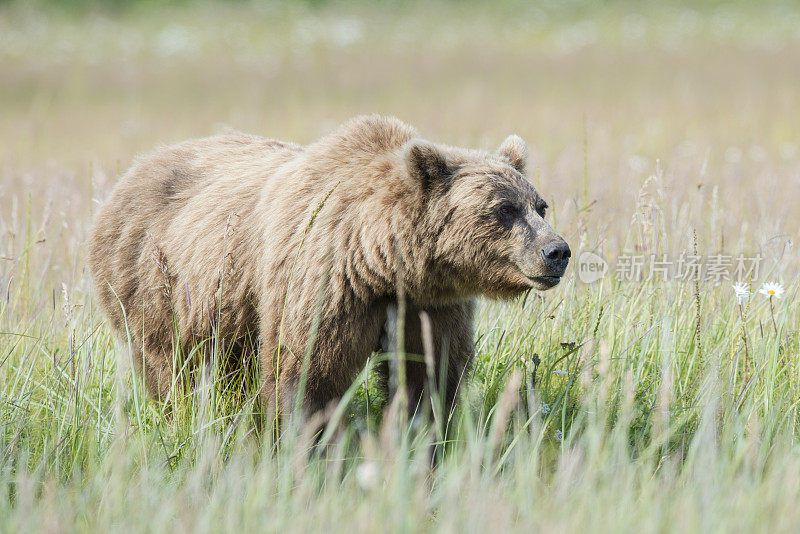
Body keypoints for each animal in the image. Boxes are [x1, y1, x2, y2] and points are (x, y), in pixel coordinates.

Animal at [89, 115, 568, 420]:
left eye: (540, 205)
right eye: (504, 209)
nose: (557, 251)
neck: (383, 263)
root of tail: (133, 172)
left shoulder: (429, 305)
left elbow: (428, 376)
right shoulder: (323, 283)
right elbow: (307, 374)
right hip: (156, 288)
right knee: (172, 370)